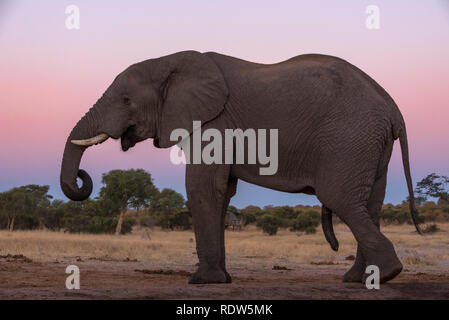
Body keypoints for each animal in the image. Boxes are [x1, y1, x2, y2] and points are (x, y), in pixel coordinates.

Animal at [61, 50, 422, 284]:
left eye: (125, 100)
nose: (81, 177)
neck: (170, 61)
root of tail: (393, 108)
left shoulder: (214, 122)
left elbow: (202, 186)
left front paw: (202, 282)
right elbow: (222, 192)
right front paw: (222, 278)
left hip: (350, 138)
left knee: (340, 198)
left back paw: (385, 274)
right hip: (369, 143)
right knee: (369, 203)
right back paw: (358, 279)